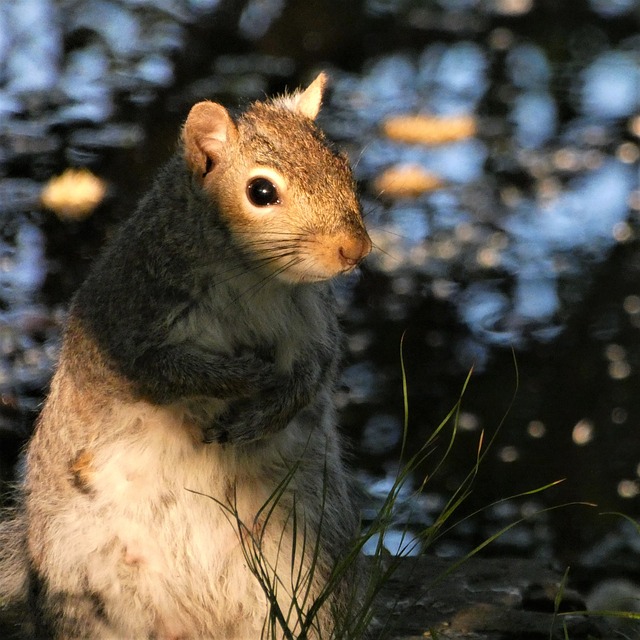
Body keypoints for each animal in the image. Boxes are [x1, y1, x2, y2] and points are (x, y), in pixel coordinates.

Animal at [1, 74, 370, 640]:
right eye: (261, 192)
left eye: (342, 164)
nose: (356, 249)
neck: (252, 278)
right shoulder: (130, 326)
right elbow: (168, 372)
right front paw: (244, 375)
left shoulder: (314, 325)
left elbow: (314, 373)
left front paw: (267, 411)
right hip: (86, 586)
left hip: (309, 567)